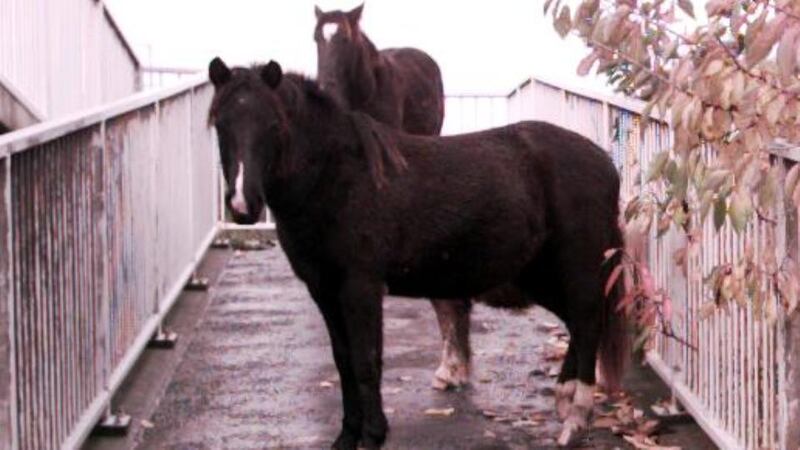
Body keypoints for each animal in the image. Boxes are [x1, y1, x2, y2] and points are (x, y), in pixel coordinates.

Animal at [207, 58, 628, 449]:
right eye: (220, 125)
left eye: (273, 126)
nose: (243, 205)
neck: (338, 179)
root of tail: (605, 163)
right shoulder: (323, 290)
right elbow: (343, 362)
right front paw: (346, 436)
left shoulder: (361, 286)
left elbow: (366, 362)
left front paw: (373, 435)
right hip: (538, 275)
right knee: (579, 322)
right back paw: (565, 400)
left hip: (575, 266)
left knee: (588, 320)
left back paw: (576, 418)